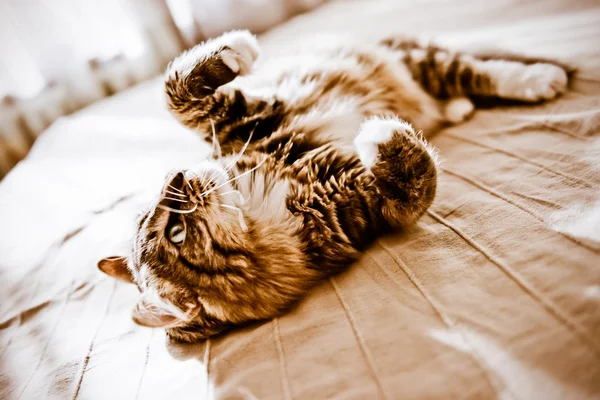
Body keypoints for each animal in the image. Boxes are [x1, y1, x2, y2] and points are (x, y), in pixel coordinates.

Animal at [98, 29, 572, 342]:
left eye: (153, 214)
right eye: (175, 234)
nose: (174, 178)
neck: (272, 190)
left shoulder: (243, 120)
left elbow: (178, 93)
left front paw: (235, 51)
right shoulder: (364, 209)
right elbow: (414, 183)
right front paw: (379, 136)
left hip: (418, 60)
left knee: (477, 70)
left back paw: (529, 79)